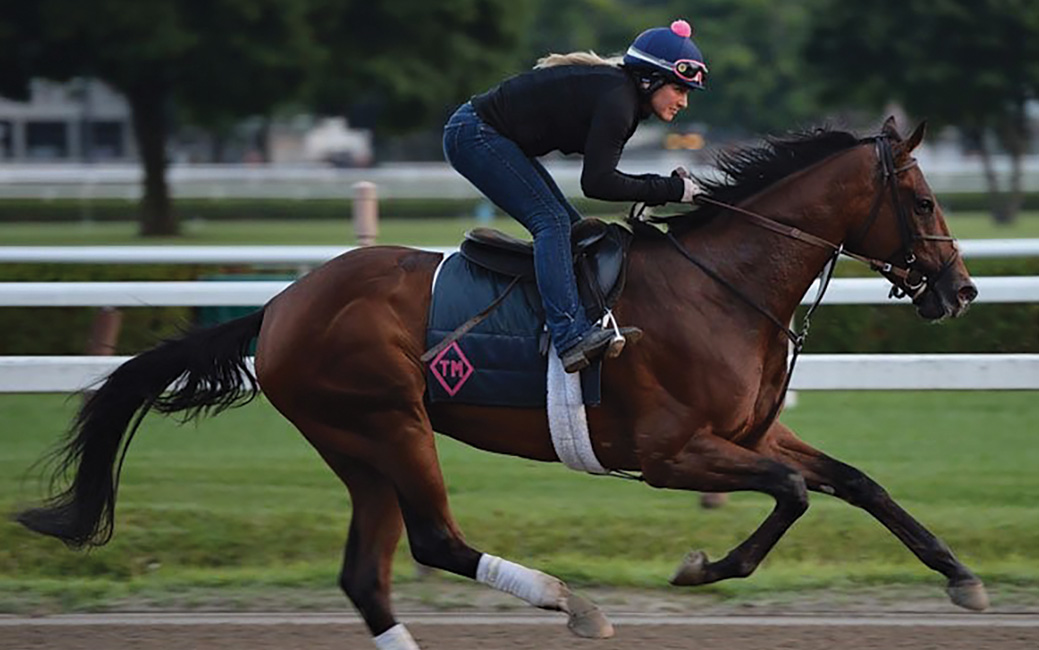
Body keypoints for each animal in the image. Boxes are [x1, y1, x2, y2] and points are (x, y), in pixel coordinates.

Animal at [20, 118, 984, 643]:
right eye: (924, 201)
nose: (959, 290)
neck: (722, 285)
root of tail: (282, 303)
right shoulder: (668, 454)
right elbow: (790, 494)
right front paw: (702, 566)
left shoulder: (749, 432)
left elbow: (854, 481)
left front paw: (959, 575)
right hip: (387, 424)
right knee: (434, 541)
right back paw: (572, 603)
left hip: (359, 448)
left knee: (367, 577)